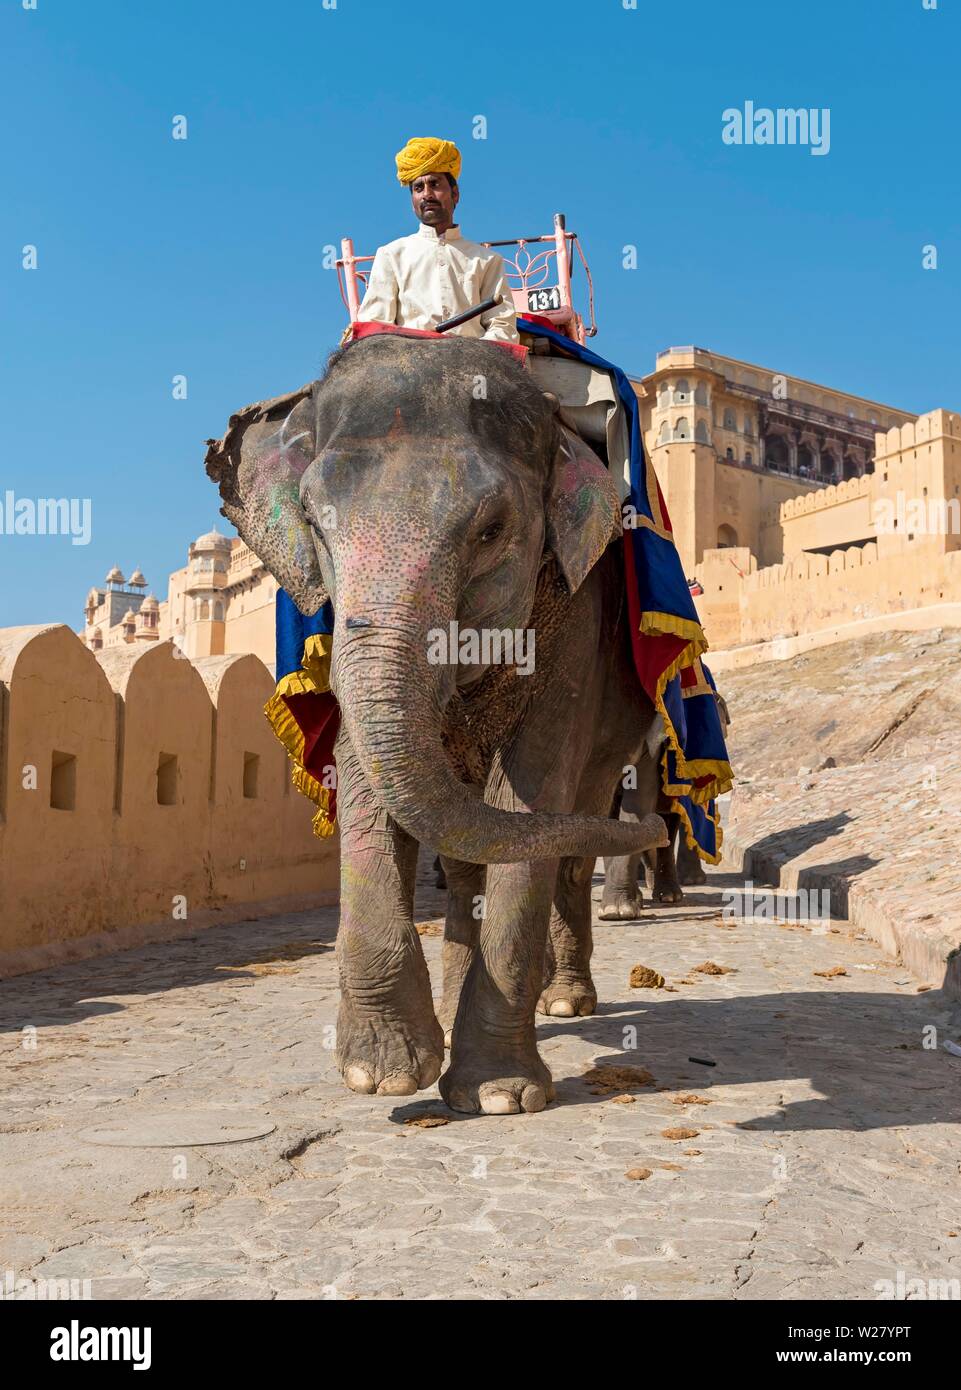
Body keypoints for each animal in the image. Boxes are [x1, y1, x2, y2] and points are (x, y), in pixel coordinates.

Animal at [204, 333, 670, 1117]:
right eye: (314, 524)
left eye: (491, 530)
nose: (667, 827)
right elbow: (369, 785)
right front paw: (384, 1072)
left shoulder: (579, 612)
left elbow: (531, 796)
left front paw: (498, 1095)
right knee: (468, 856)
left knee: (569, 835)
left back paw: (565, 1001)